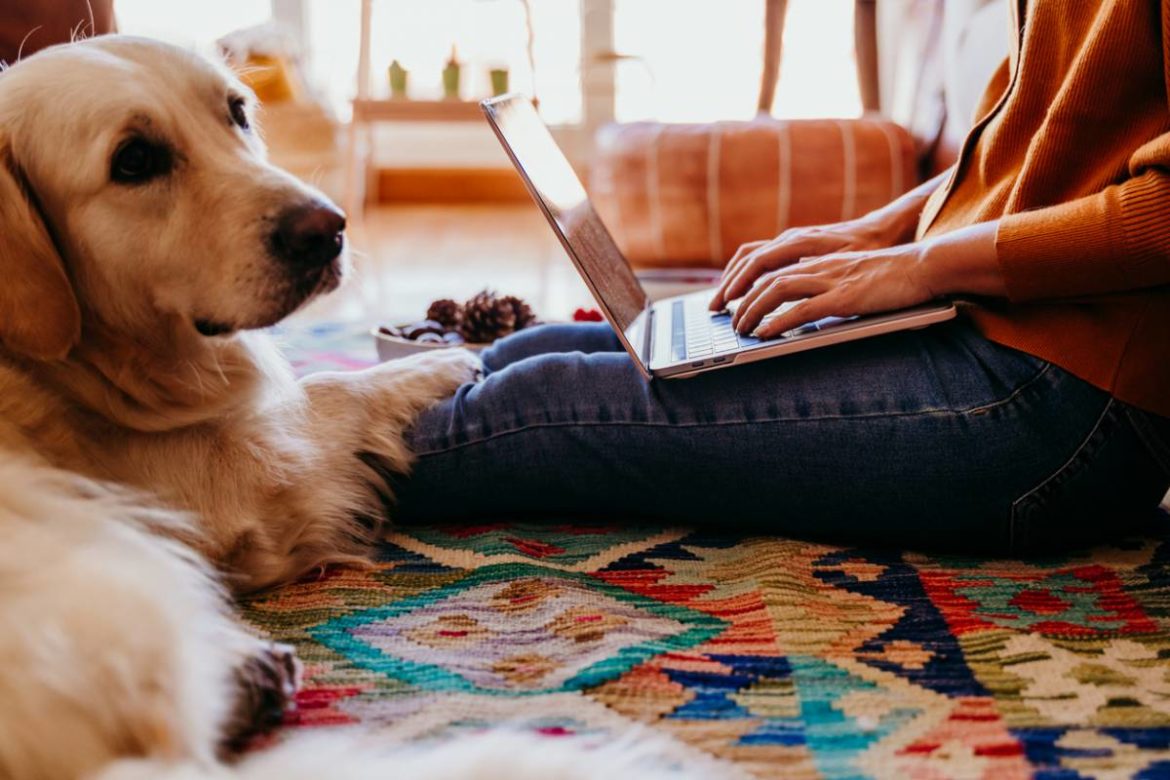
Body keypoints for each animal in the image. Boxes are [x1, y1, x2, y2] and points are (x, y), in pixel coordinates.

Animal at [0, 36, 711, 780]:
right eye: (133, 161)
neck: (77, 366)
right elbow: (326, 388)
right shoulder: (223, 484)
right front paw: (436, 364)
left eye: (237, 111)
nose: (327, 230)